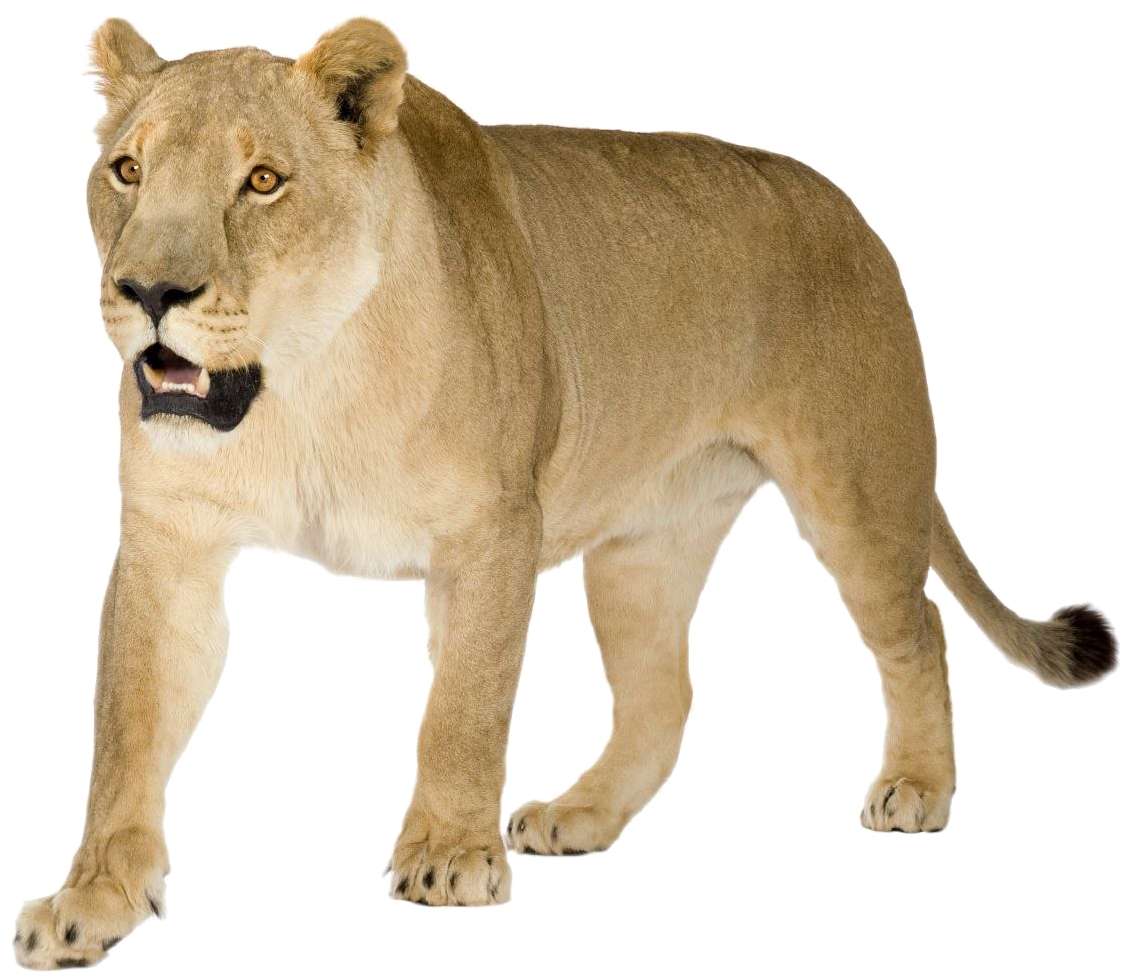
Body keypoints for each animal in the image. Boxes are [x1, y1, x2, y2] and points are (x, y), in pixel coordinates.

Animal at [15, 12, 1118, 964]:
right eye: (126, 169)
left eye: (262, 180)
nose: (150, 293)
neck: (303, 385)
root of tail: (847, 207)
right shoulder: (170, 540)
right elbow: (128, 726)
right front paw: (89, 903)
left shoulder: (490, 530)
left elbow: (463, 705)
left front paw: (448, 857)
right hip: (645, 544)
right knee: (668, 693)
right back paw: (580, 815)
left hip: (857, 482)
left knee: (916, 632)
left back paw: (918, 789)